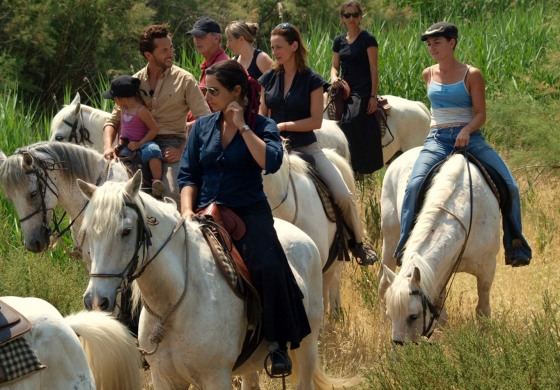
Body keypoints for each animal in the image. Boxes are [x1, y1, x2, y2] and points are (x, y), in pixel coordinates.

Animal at [76, 173, 360, 390]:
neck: (174, 303)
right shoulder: (164, 379)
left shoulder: (215, 378)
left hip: (308, 346)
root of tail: (303, 238)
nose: (96, 300)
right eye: (88, 232)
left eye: (125, 231)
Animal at [378, 148, 500, 342]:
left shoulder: (487, 266)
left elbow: (482, 308)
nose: (398, 343)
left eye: (413, 316)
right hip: (389, 239)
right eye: (391, 315)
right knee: (383, 281)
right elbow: (441, 315)